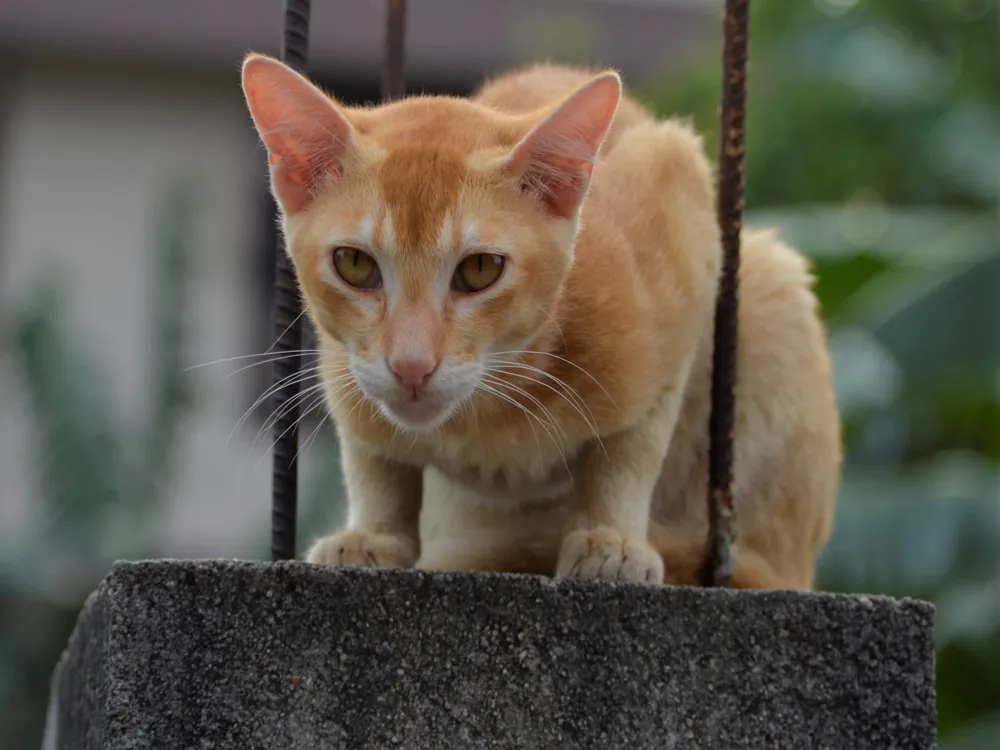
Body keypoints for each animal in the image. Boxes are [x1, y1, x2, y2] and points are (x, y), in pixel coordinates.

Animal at [242, 55, 844, 592]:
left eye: (480, 269)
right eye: (354, 264)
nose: (411, 365)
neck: (491, 421)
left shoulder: (683, 213)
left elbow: (633, 447)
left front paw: (610, 537)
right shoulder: (345, 369)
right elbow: (373, 456)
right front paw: (374, 533)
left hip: (771, 289)